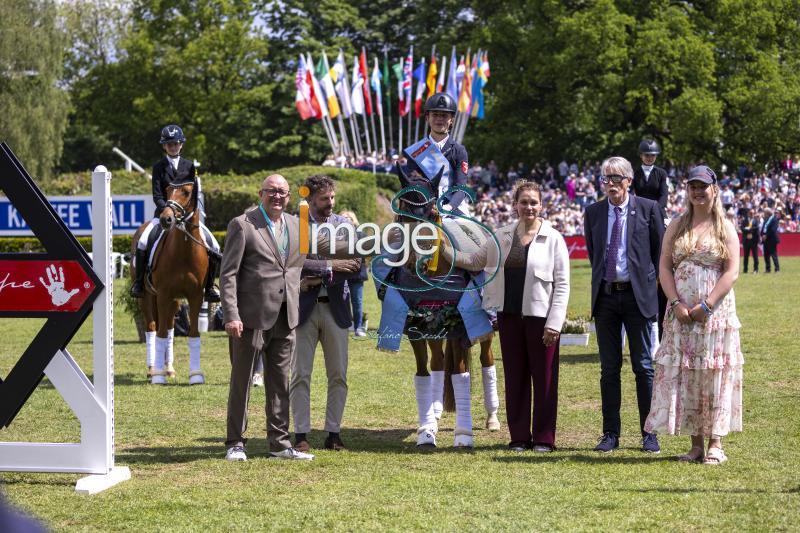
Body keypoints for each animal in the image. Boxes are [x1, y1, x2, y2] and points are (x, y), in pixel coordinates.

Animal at [130, 181, 209, 384]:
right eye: (167, 191)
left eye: (187, 192)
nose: (166, 219)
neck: (184, 250)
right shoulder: (163, 294)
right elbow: (160, 334)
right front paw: (158, 377)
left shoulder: (195, 296)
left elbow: (193, 333)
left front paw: (195, 375)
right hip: (147, 297)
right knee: (152, 328)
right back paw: (153, 370)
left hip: (174, 301)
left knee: (170, 329)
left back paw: (169, 369)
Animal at [376, 164, 500, 446]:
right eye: (402, 211)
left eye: (432, 212)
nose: (415, 260)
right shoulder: (415, 324)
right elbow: (424, 374)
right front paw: (426, 430)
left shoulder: (460, 325)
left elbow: (461, 374)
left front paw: (463, 435)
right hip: (432, 323)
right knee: (438, 363)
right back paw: (435, 411)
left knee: (486, 361)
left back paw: (492, 418)